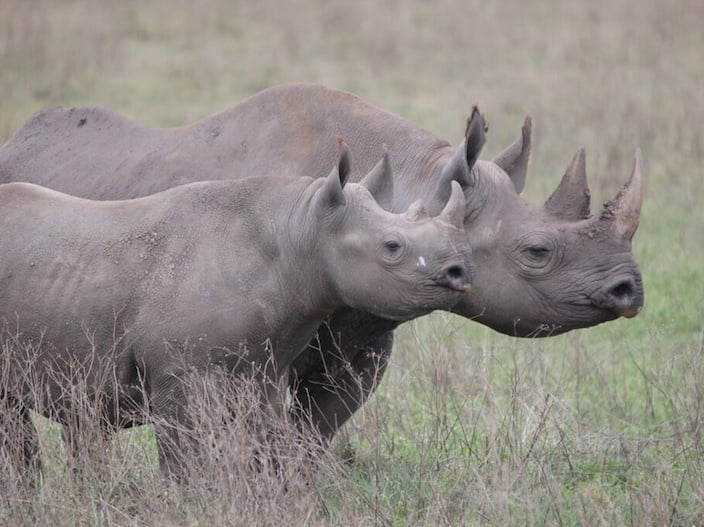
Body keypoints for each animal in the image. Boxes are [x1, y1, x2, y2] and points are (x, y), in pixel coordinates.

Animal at [0, 145, 473, 478]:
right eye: (392, 247)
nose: (460, 270)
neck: (301, 233)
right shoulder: (179, 376)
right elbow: (185, 462)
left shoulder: (263, 369)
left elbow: (267, 447)